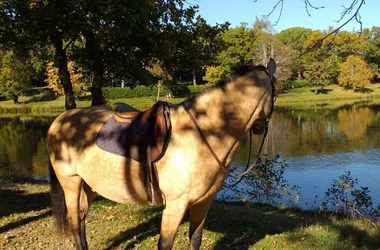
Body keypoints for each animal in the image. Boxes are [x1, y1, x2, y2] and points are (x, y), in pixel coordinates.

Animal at [46, 59, 276, 250]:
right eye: (275, 93)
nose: (260, 128)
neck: (205, 133)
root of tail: (60, 120)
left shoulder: (203, 202)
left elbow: (195, 239)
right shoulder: (175, 205)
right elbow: (165, 244)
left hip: (90, 185)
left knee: (82, 217)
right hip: (71, 183)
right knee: (75, 222)